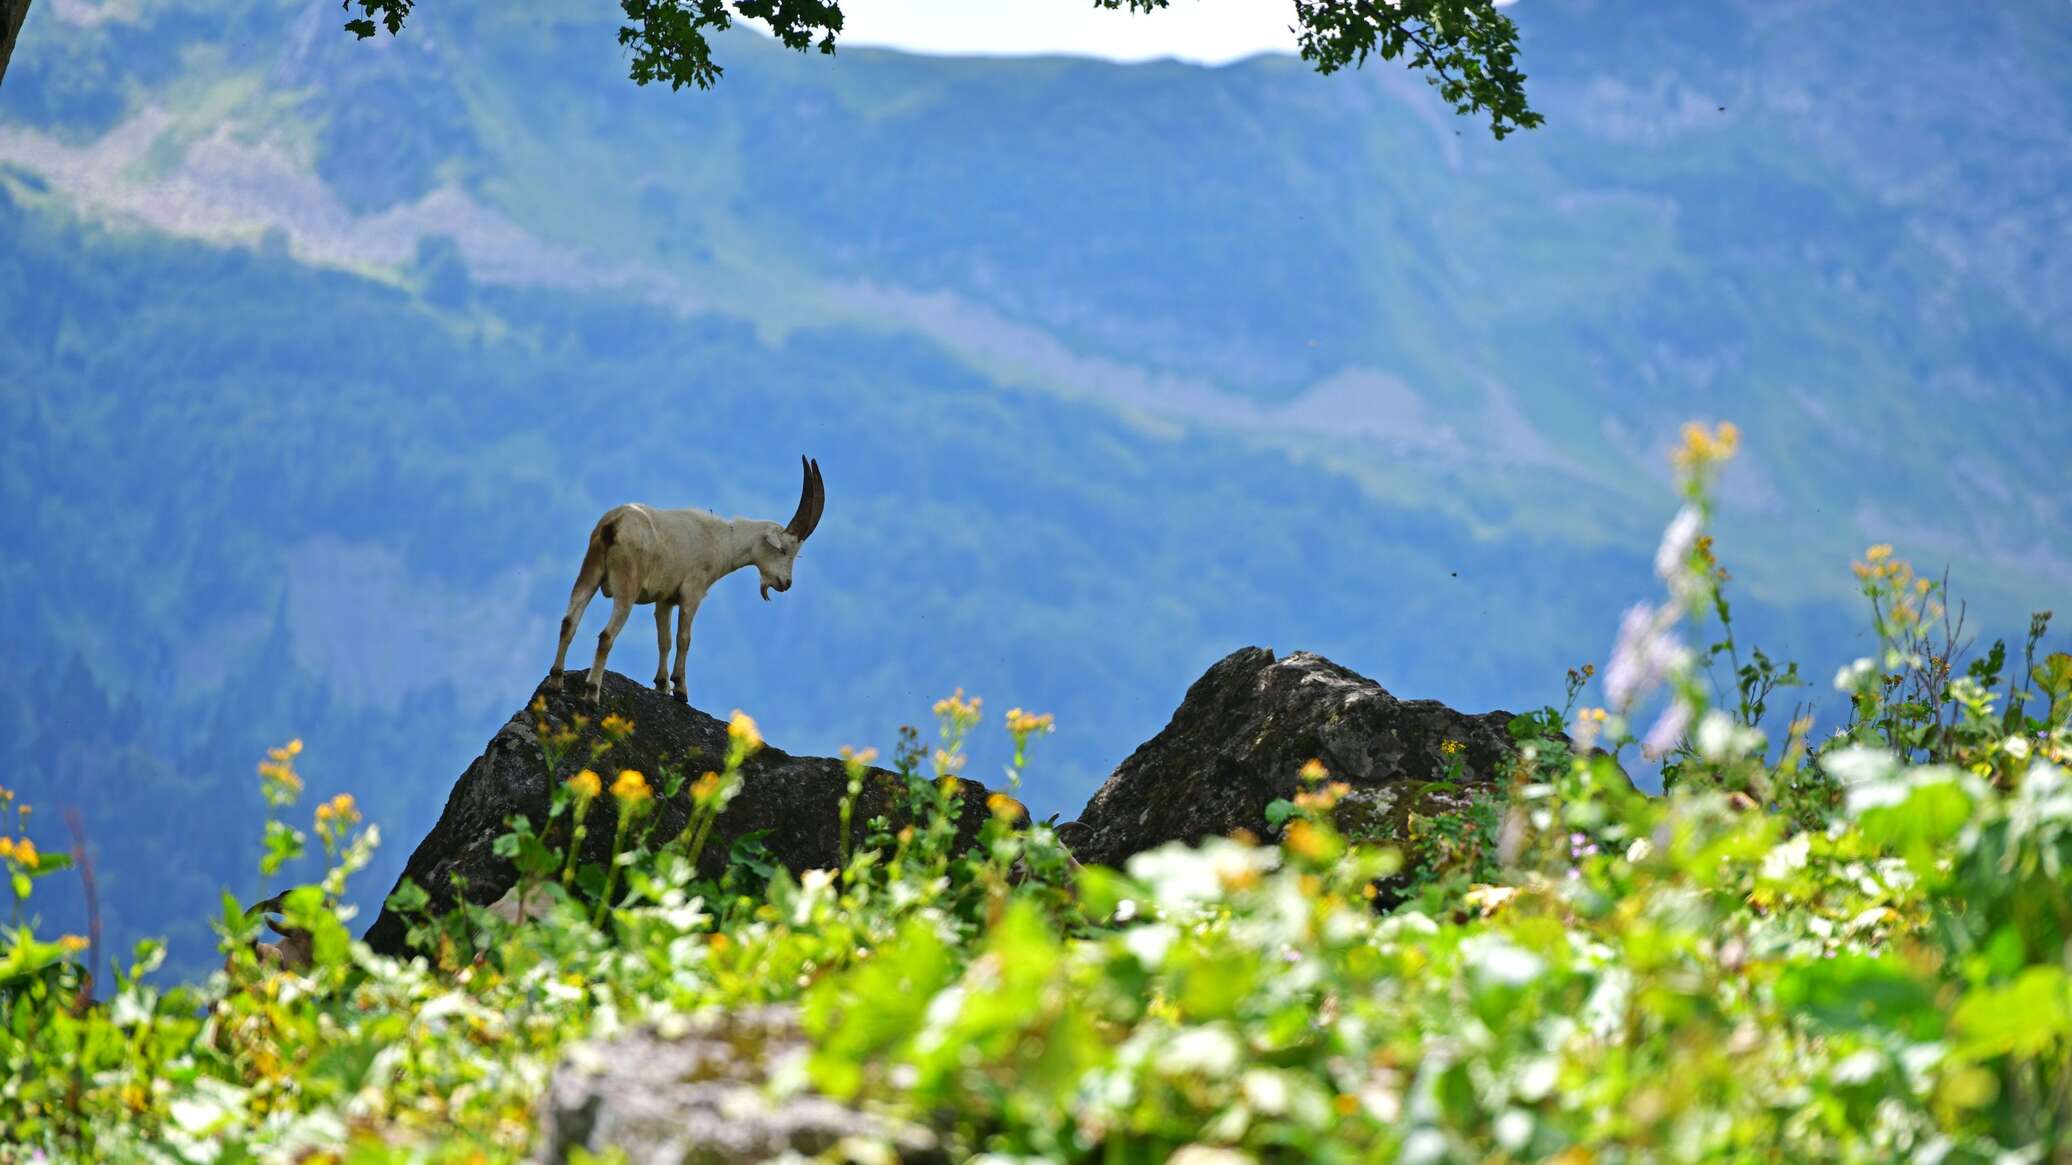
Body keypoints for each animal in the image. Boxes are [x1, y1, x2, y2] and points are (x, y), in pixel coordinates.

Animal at [551, 458, 824, 704]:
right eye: (784, 550)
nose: (785, 583)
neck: (721, 540)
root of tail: (613, 526)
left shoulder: (665, 599)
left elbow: (664, 640)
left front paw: (661, 686)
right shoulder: (692, 592)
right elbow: (684, 638)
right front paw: (680, 689)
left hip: (590, 571)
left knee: (568, 622)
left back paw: (555, 682)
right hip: (627, 585)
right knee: (606, 635)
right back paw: (592, 693)